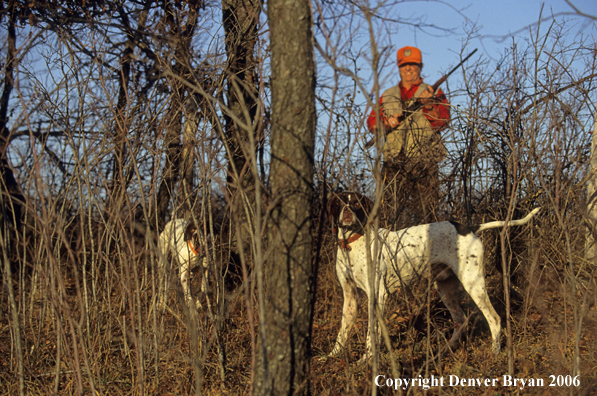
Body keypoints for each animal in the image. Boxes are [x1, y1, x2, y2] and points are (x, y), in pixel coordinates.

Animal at [326, 192, 540, 362]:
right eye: (338, 203)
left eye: (356, 203)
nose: (347, 211)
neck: (352, 243)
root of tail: (469, 228)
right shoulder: (350, 297)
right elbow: (342, 332)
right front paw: (332, 356)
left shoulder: (377, 296)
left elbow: (372, 333)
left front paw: (367, 360)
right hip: (445, 288)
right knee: (461, 319)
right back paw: (444, 351)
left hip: (473, 284)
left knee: (494, 319)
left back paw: (495, 353)